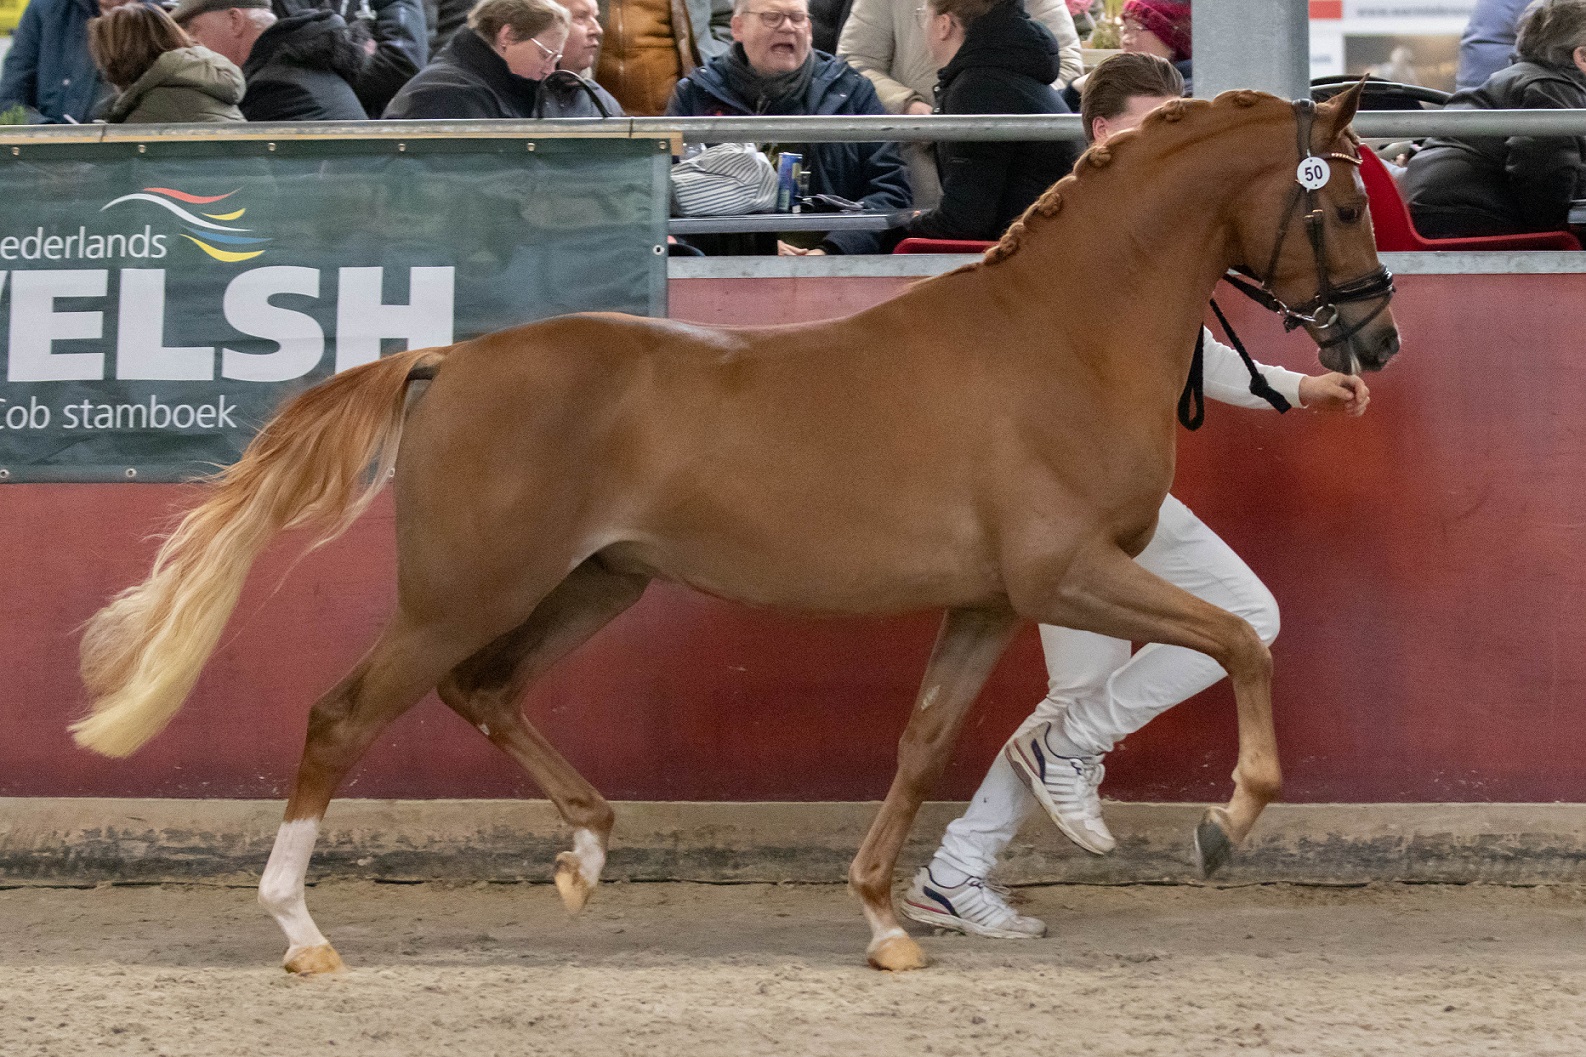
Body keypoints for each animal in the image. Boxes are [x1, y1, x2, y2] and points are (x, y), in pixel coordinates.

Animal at [71, 82, 1398, 975]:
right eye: (1339, 207)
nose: (1374, 341)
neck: (1055, 339)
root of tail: (446, 360)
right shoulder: (1063, 576)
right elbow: (1240, 641)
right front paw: (1224, 825)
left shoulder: (985, 601)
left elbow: (922, 745)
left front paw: (883, 919)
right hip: (463, 593)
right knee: (344, 715)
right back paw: (301, 930)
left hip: (592, 585)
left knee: (486, 692)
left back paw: (584, 854)